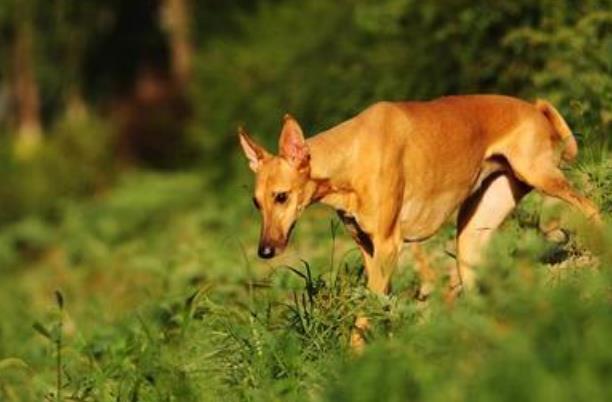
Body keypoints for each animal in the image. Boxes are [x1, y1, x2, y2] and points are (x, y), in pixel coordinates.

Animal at [237, 96, 600, 348]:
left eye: (281, 196)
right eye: (256, 203)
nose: (264, 252)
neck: (351, 155)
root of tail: (534, 108)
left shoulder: (388, 245)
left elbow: (366, 311)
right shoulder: (370, 250)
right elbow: (381, 306)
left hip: (545, 177)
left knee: (591, 206)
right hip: (471, 238)